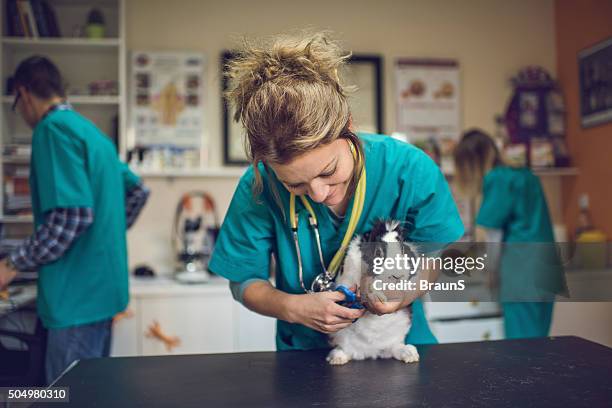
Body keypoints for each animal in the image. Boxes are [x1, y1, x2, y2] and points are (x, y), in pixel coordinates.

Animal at [326, 222, 420, 364]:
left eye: (403, 249)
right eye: (378, 252)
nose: (397, 276)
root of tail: (371, 351)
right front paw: (378, 296)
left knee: (396, 348)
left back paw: (410, 355)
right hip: (341, 336)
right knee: (344, 349)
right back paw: (337, 359)